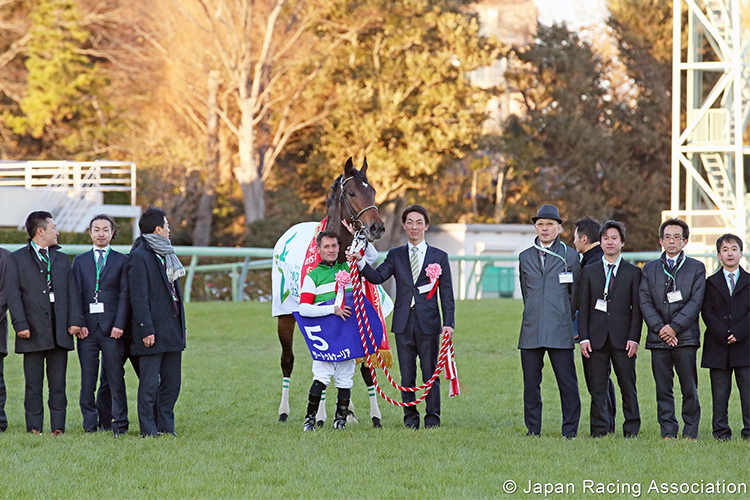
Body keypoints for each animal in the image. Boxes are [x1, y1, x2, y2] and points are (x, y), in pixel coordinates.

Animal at [274, 156, 388, 426]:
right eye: (352, 192)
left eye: (372, 191)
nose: (377, 227)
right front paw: (321, 415)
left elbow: (364, 365)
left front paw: (374, 415)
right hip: (285, 315)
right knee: (288, 360)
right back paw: (285, 411)